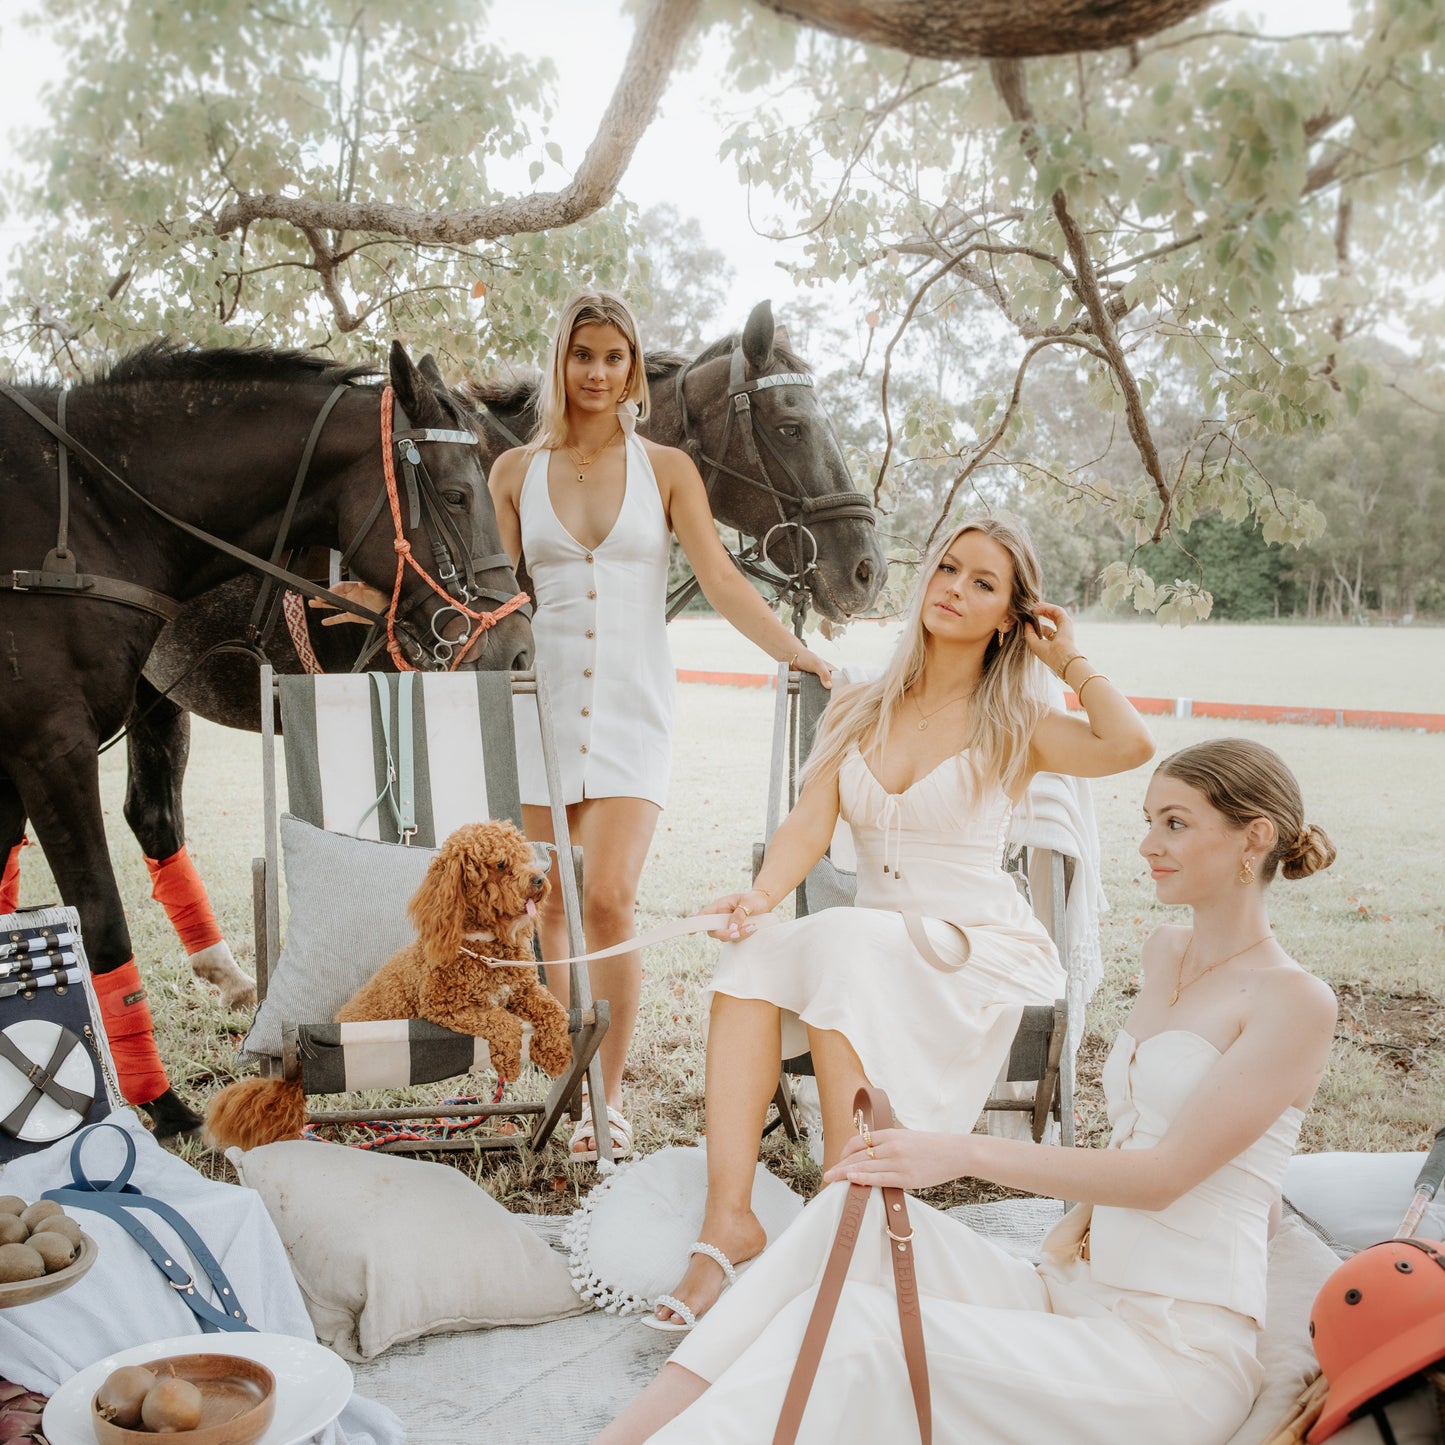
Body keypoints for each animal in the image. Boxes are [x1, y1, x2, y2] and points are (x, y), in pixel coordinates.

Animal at [0, 343, 534, 1132]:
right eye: (459, 494)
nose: (519, 649)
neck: (93, 515)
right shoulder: (47, 747)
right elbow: (100, 922)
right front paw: (161, 1105)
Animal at [205, 826, 575, 1150]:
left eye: (526, 858)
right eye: (500, 864)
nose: (539, 880)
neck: (483, 945)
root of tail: (298, 1071)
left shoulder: (522, 991)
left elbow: (555, 1011)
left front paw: (556, 1053)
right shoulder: (444, 1007)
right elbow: (502, 1022)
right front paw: (511, 1061)